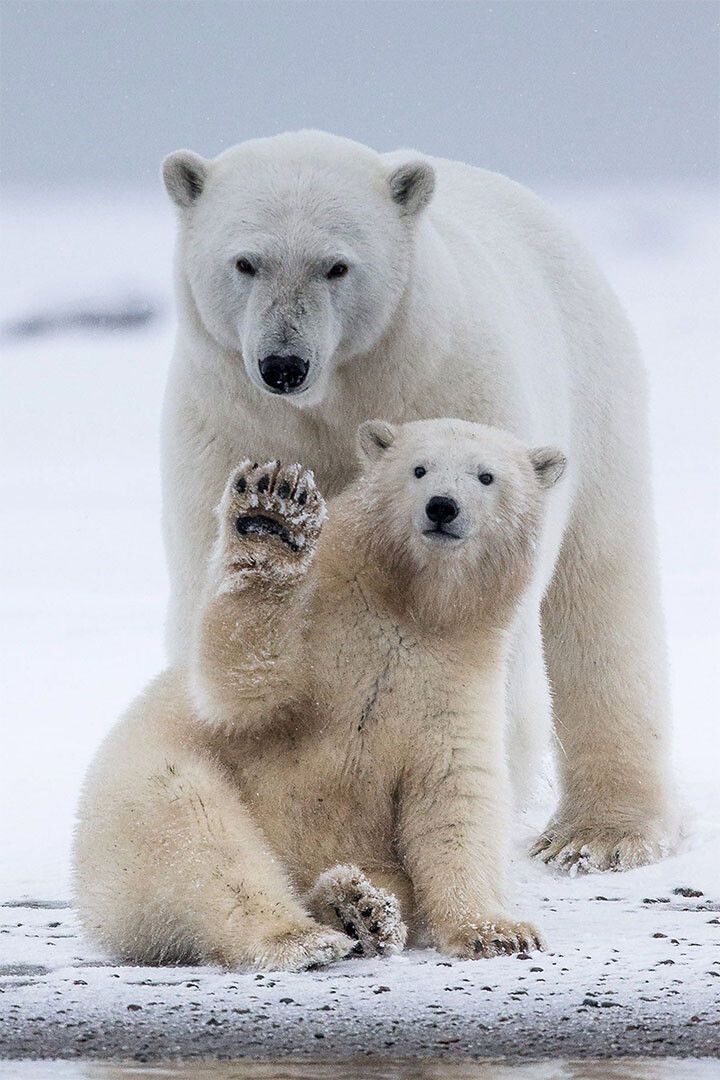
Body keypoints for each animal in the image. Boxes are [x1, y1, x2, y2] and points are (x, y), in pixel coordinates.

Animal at [73, 418, 564, 970]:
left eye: (485, 476)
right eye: (419, 468)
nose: (442, 506)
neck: (408, 608)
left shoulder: (456, 679)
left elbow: (455, 798)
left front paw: (498, 932)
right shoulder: (322, 629)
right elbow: (242, 688)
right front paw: (272, 519)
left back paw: (359, 909)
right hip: (139, 798)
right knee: (199, 833)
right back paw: (299, 935)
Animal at [159, 130, 675, 874]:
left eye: (337, 266)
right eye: (246, 261)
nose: (283, 365)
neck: (337, 399)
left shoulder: (456, 392)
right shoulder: (229, 424)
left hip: (597, 399)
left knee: (600, 597)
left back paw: (599, 833)